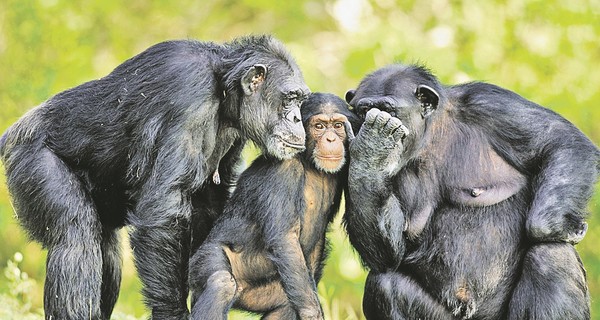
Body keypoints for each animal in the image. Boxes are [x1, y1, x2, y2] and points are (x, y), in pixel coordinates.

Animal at [0, 35, 310, 320]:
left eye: (300, 100)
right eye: (290, 98)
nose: (297, 118)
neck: (223, 90)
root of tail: (11, 135)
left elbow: (209, 206)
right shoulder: (188, 91)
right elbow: (162, 211)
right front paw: (172, 312)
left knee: (107, 252)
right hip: (31, 160)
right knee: (75, 235)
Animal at [342, 63, 600, 318]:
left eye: (387, 109)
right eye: (363, 112)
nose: (370, 122)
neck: (432, 133)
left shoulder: (490, 103)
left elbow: (559, 140)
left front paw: (558, 227)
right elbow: (389, 253)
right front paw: (372, 151)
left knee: (552, 256)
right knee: (386, 286)